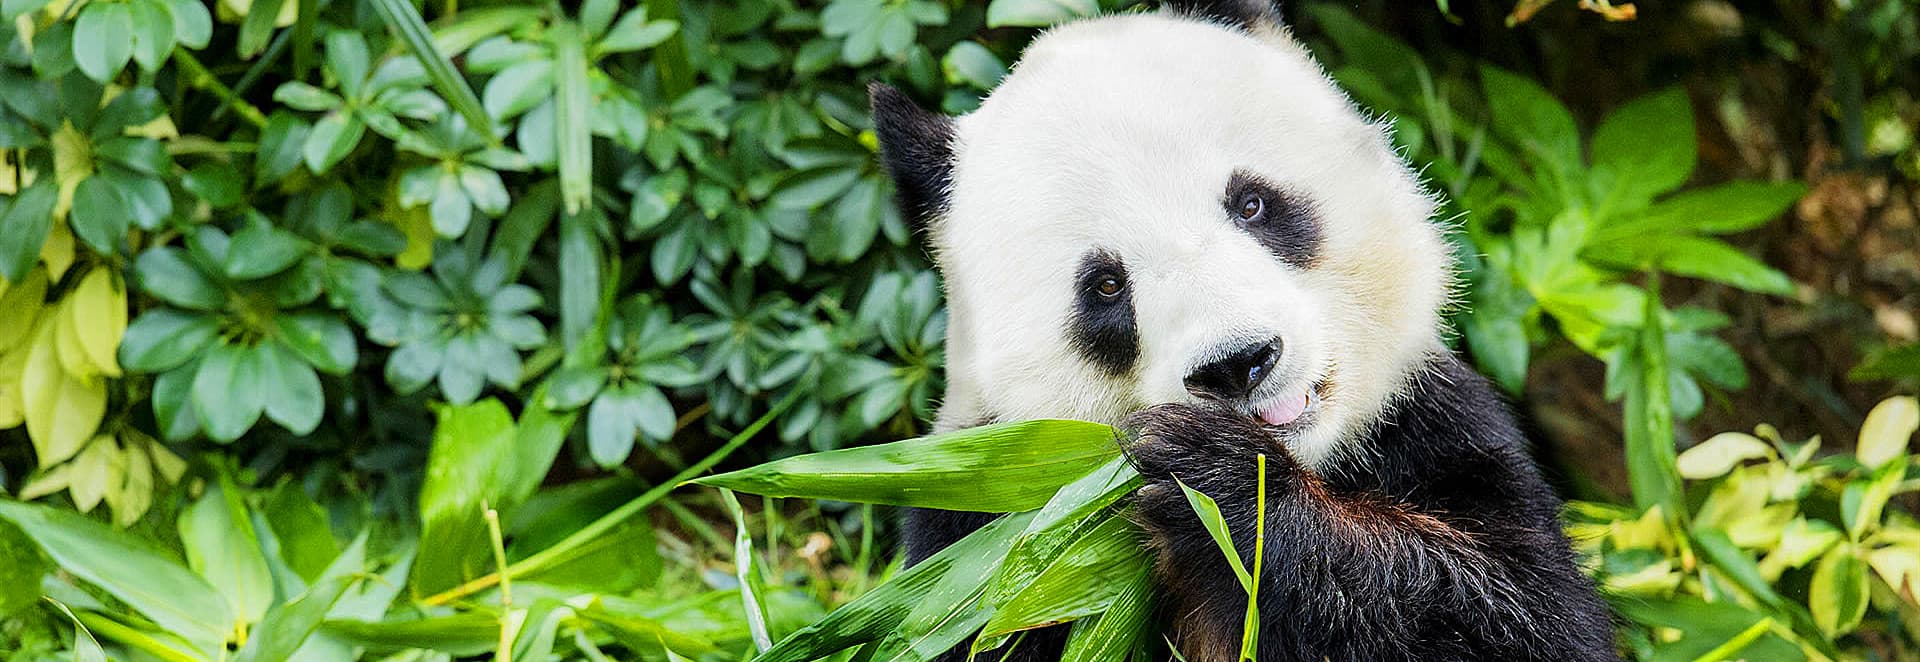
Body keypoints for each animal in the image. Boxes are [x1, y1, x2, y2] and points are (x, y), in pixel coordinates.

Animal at [866, 0, 1618, 660]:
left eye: (1252, 204)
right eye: (1105, 285)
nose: (1238, 362)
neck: (1314, 460)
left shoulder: (1432, 428)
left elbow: (1521, 616)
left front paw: (1221, 482)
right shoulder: (981, 532)